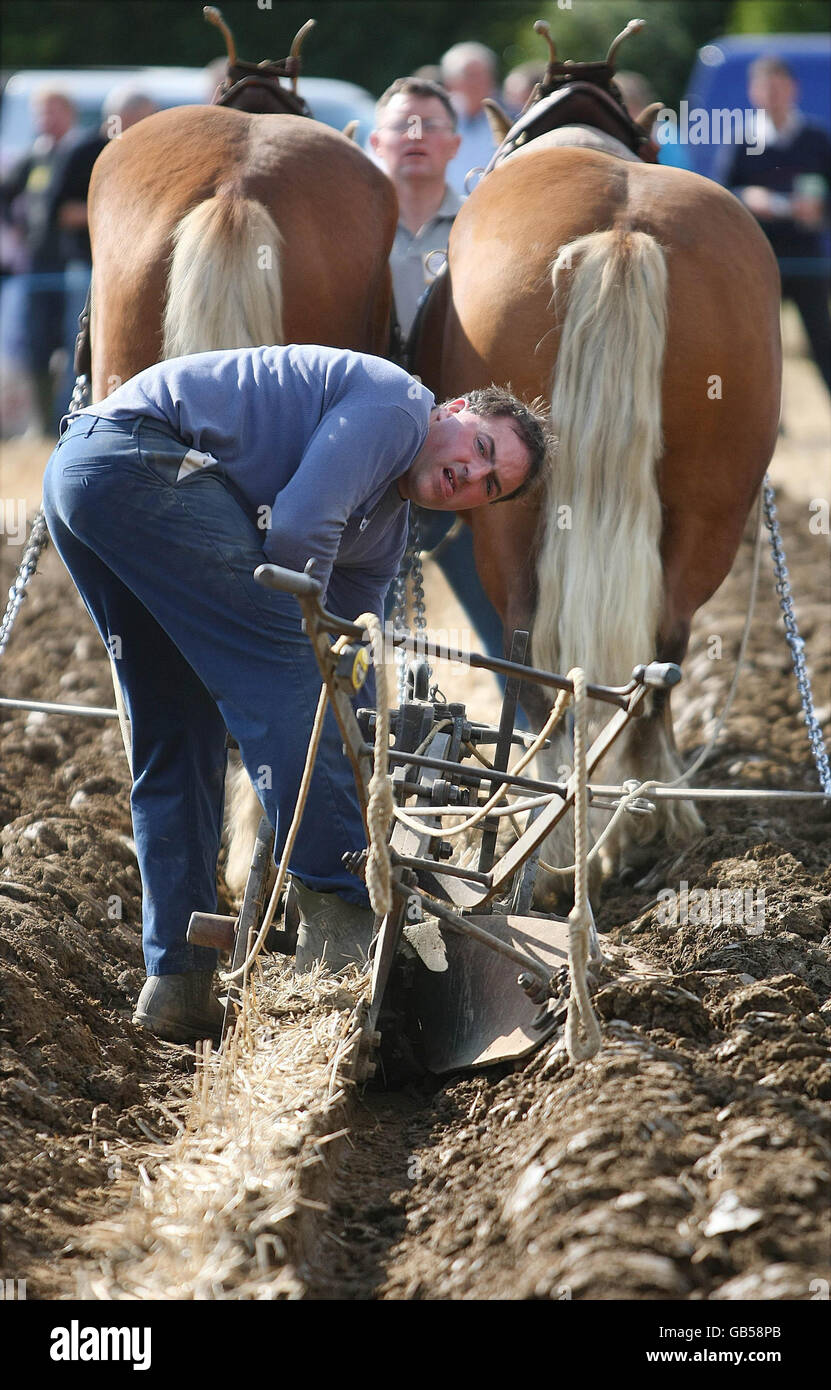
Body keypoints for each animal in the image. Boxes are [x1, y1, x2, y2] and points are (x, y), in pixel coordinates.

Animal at [414, 19, 783, 878]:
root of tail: (622, 234)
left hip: (508, 511)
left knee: (530, 642)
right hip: (712, 505)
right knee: (664, 645)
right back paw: (654, 809)